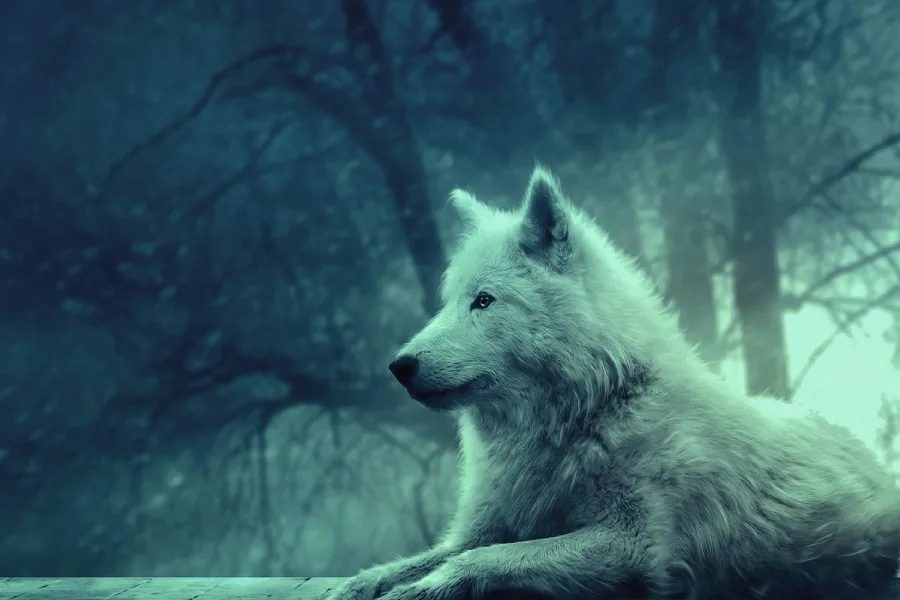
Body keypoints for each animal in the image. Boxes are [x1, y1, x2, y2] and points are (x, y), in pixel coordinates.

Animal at [325, 167, 900, 600]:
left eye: (484, 301)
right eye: (447, 302)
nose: (399, 365)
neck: (588, 412)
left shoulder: (633, 546)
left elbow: (481, 561)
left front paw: (420, 590)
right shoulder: (482, 526)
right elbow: (418, 560)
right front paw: (360, 585)